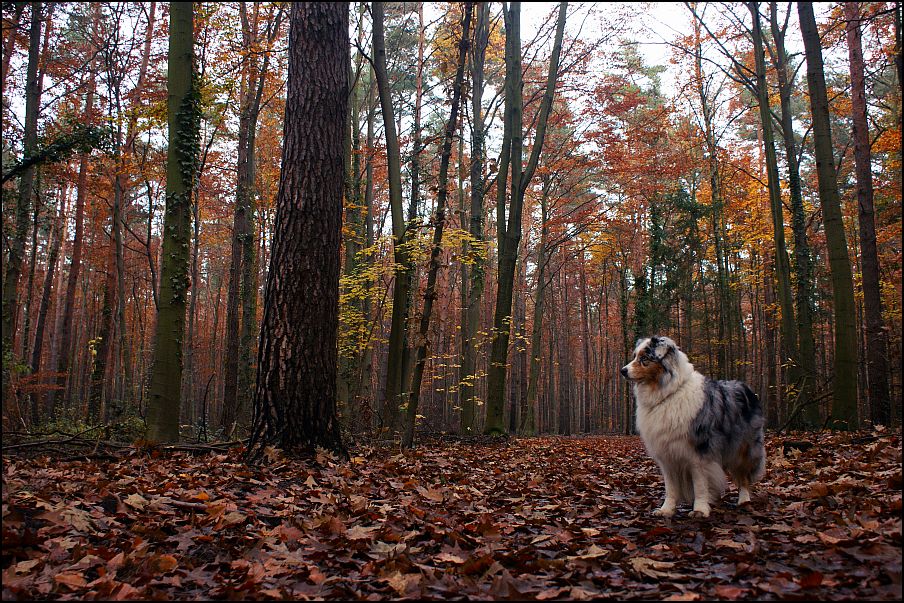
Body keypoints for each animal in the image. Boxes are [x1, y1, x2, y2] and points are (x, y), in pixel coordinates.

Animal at [624, 338, 768, 516]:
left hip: (743, 448)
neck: (668, 393)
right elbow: (671, 487)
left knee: (743, 476)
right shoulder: (667, 454)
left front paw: (699, 509)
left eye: (644, 359)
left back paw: (744, 500)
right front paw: (666, 509)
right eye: (635, 356)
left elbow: (700, 484)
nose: (623, 371)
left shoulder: (699, 452)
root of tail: (746, 388)